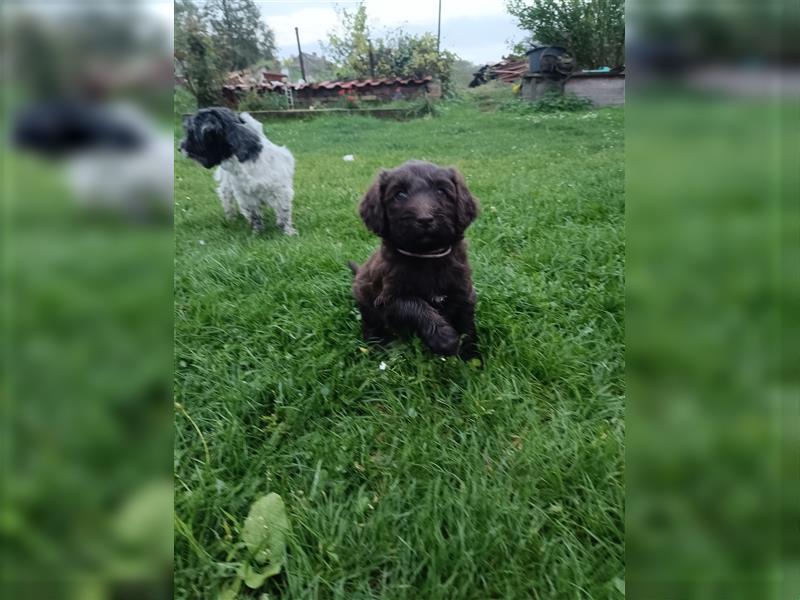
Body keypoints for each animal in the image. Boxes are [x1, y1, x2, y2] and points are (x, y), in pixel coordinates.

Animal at [352, 157, 482, 360]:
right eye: (400, 195)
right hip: (365, 301)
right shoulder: (386, 300)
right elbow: (413, 304)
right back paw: (377, 346)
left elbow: (467, 324)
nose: (425, 219)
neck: (427, 255)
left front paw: (472, 358)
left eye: (441, 191)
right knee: (371, 325)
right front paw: (444, 338)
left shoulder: (464, 291)